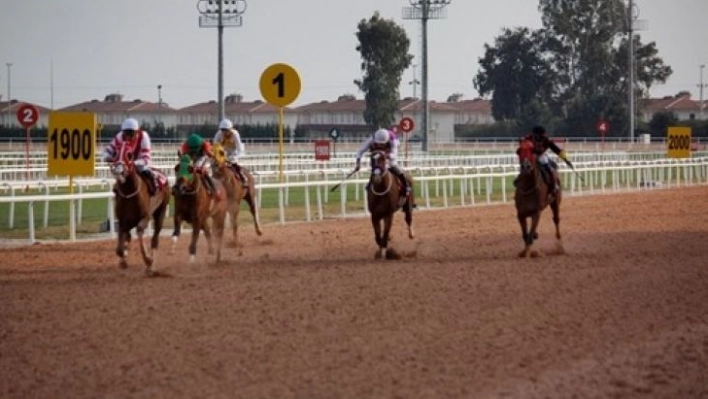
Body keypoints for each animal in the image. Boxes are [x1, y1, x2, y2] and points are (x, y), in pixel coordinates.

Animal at [110, 148, 171, 276]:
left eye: (129, 156)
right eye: (115, 154)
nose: (118, 171)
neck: (129, 194)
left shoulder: (145, 217)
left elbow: (139, 231)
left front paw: (148, 260)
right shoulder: (122, 221)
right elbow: (120, 248)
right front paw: (123, 260)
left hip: (161, 211)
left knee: (155, 238)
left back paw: (151, 266)